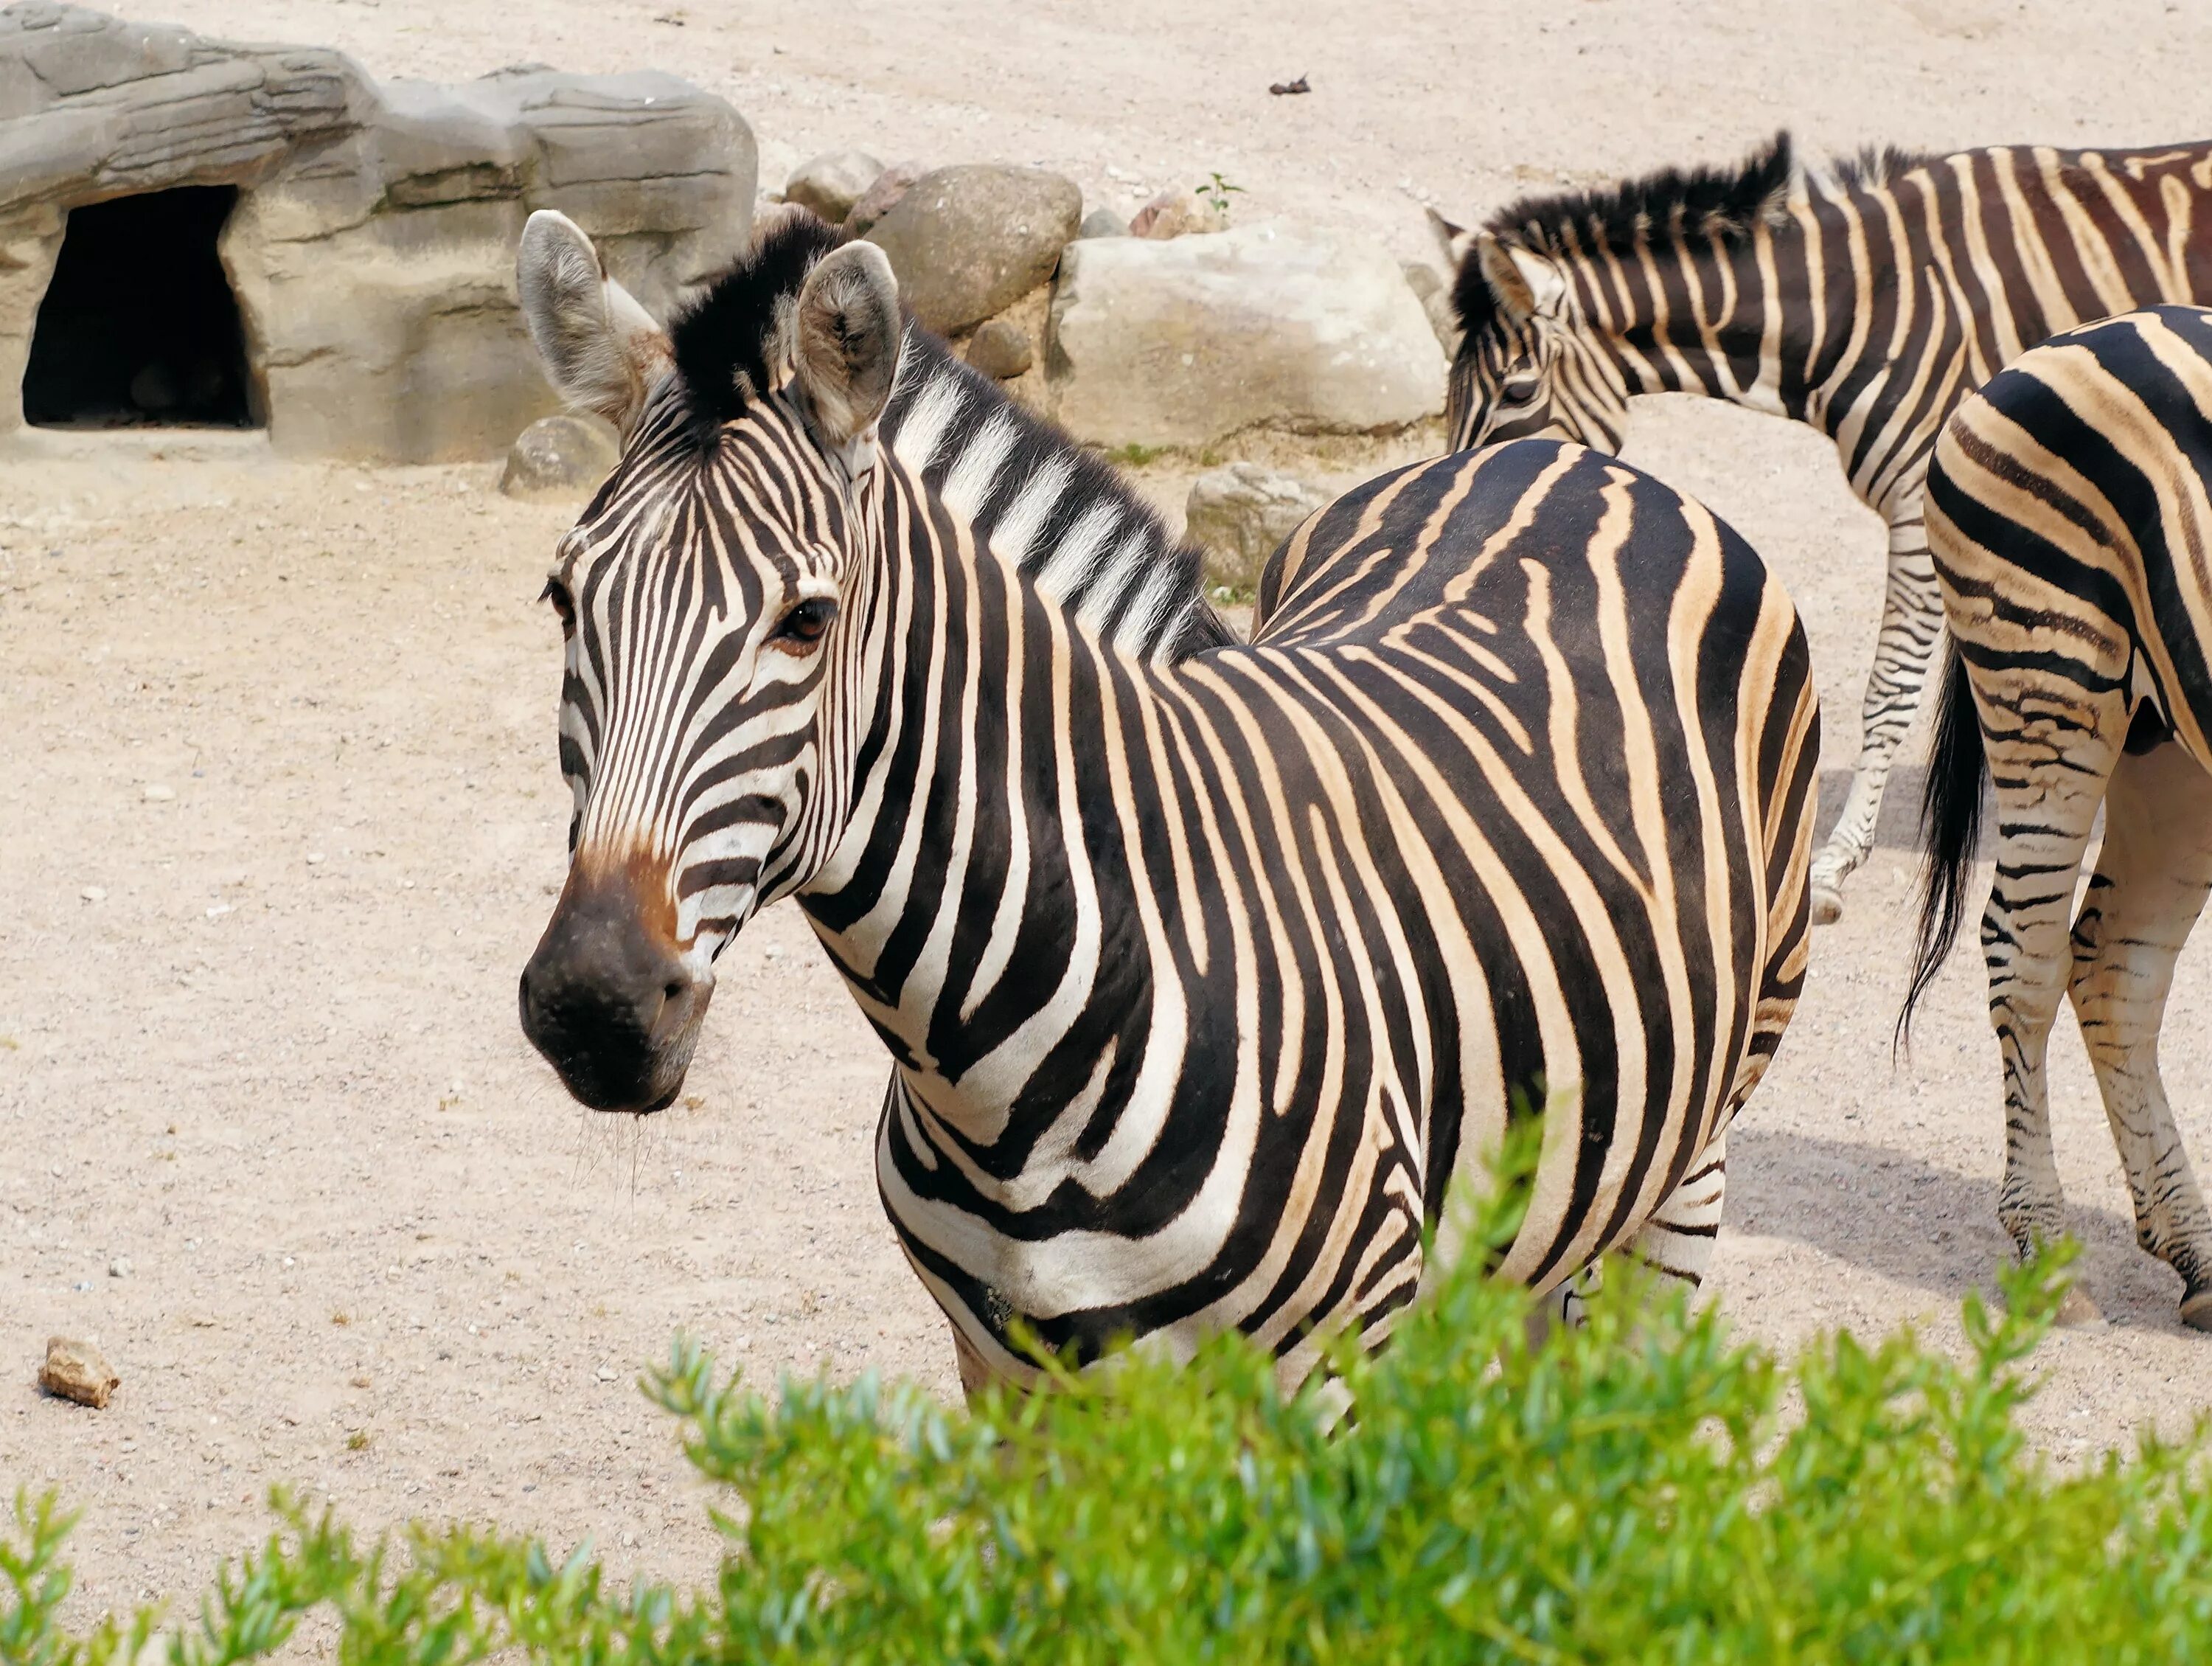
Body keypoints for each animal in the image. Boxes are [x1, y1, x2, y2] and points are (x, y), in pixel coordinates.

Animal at [509, 201, 1823, 1389]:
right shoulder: (1009, 1378)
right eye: (563, 599)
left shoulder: (1323, 1386)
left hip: (1696, 1153)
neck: (992, 1077)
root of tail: (1561, 457)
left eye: (806, 620)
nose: (594, 1006)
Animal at [1433, 133, 2212, 925]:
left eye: (1517, 391)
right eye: (1451, 393)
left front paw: (1837, 861)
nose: (1468, 499)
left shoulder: (1920, 499)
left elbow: (1889, 687)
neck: (1870, 298)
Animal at [1902, 305, 2212, 1336]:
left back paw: (2197, 1255)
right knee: (2025, 954)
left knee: (2116, 965)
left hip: (2168, 742)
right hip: (2048, 677)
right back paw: (2045, 1249)